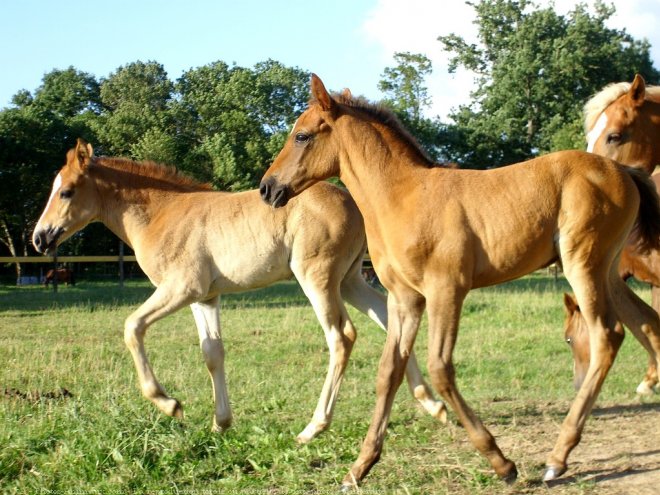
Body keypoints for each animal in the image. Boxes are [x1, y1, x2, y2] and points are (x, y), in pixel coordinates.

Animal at [31, 140, 444, 446]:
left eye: (66, 191)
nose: (39, 238)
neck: (161, 214)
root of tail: (357, 207)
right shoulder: (204, 297)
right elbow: (212, 353)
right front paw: (220, 423)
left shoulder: (181, 287)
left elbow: (132, 327)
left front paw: (169, 404)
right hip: (351, 279)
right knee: (390, 322)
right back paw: (432, 404)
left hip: (318, 278)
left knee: (341, 336)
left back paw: (314, 427)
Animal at [260, 74, 660, 488]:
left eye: (302, 135)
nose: (267, 188)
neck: (403, 196)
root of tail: (623, 172)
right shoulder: (404, 298)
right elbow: (389, 371)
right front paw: (359, 467)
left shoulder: (446, 290)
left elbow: (440, 367)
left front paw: (501, 462)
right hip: (608, 270)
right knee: (642, 323)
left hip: (582, 263)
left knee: (606, 336)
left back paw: (557, 458)